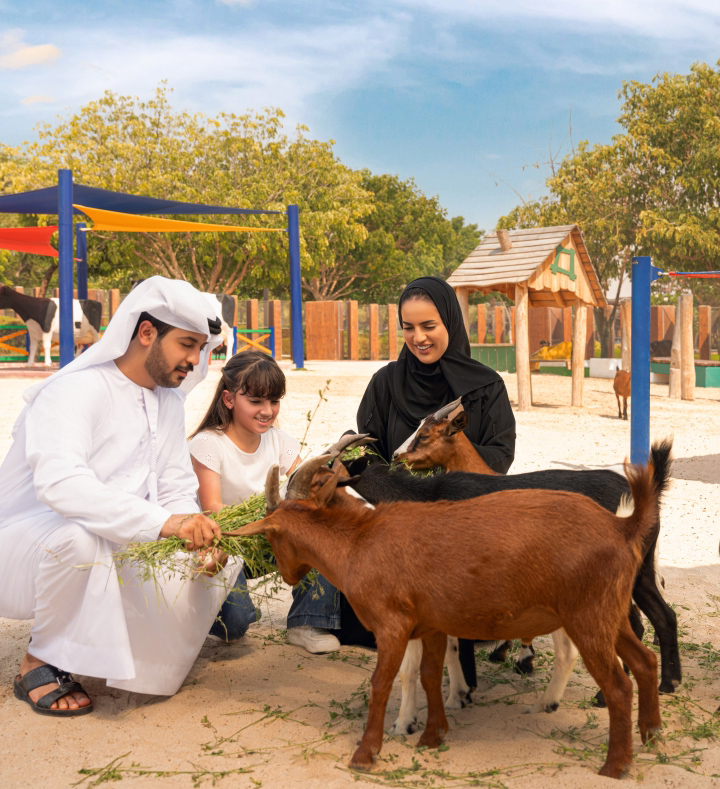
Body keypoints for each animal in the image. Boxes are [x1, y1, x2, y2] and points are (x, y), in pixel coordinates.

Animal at [235, 444, 668, 776]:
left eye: (272, 537)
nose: (288, 575)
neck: (359, 542)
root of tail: (623, 527)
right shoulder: (429, 625)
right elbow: (429, 676)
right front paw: (432, 735)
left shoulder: (392, 626)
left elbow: (383, 683)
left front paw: (366, 754)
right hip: (608, 615)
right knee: (645, 662)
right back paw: (652, 736)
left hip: (588, 618)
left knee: (618, 684)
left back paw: (615, 764)